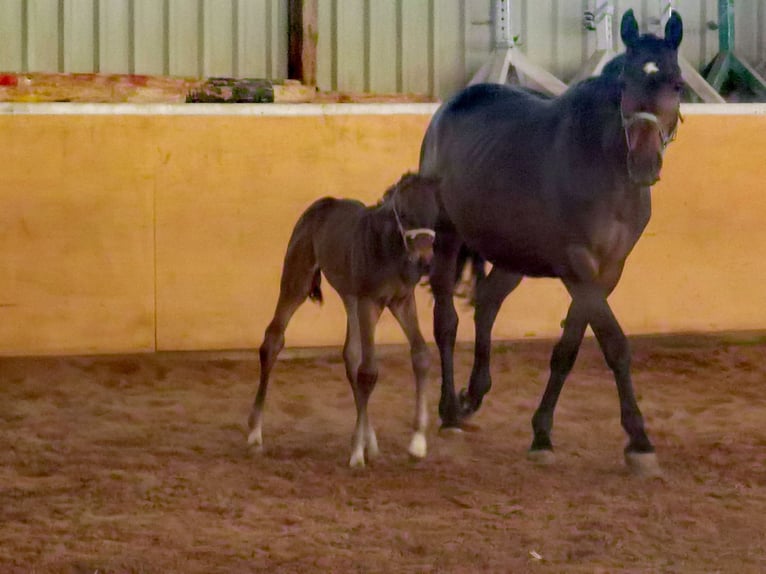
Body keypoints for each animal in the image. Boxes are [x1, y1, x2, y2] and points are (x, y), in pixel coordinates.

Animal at [247, 173, 440, 468]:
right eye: (405, 214)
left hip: (350, 298)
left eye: (435, 213)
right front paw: (356, 453)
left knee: (351, 355)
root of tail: (320, 205)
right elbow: (369, 371)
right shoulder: (370, 301)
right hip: (298, 280)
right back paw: (255, 434)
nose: (425, 262)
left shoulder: (402, 300)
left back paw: (371, 441)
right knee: (273, 340)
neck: (388, 248)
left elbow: (420, 354)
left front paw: (417, 443)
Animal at [419, 10, 684, 476]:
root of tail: (449, 106)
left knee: (487, 303)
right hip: (448, 239)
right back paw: (450, 411)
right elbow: (614, 343)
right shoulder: (577, 266)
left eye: (676, 84)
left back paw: (473, 395)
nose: (644, 164)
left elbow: (568, 348)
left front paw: (542, 433)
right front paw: (638, 440)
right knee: (446, 321)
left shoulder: (607, 271)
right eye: (626, 84)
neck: (605, 168)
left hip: (512, 255)